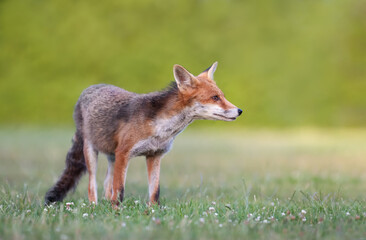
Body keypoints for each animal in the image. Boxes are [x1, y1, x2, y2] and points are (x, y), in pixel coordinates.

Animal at [44, 62, 242, 206]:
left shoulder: (154, 155)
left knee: (107, 184)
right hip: (92, 153)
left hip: (112, 156)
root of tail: (90, 88)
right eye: (215, 98)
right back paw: (94, 207)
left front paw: (153, 212)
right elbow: (120, 190)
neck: (162, 129)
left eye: (223, 96)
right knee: (92, 186)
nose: (239, 111)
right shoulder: (124, 153)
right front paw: (117, 212)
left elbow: (154, 191)